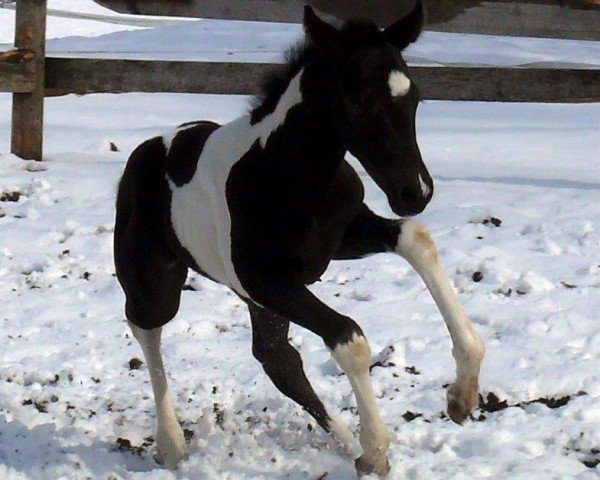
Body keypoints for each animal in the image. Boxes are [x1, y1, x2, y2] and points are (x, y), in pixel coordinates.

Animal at [115, 2, 486, 476]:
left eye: (414, 95)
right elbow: (349, 338)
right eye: (357, 99)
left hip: (261, 303)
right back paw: (171, 445)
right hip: (158, 282)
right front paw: (377, 450)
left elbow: (416, 240)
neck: (286, 174)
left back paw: (346, 443)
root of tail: (145, 152)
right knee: (146, 327)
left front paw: (463, 395)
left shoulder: (336, 243)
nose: (415, 192)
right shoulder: (264, 280)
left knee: (276, 357)